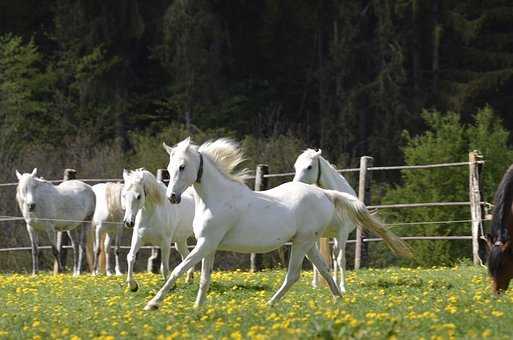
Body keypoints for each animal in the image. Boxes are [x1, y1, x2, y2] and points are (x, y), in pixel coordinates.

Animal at [292, 149, 356, 292]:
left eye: (309, 167)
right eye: (295, 167)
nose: (296, 185)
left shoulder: (343, 233)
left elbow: (340, 259)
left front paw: (342, 287)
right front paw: (316, 284)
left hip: (337, 236)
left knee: (336, 257)